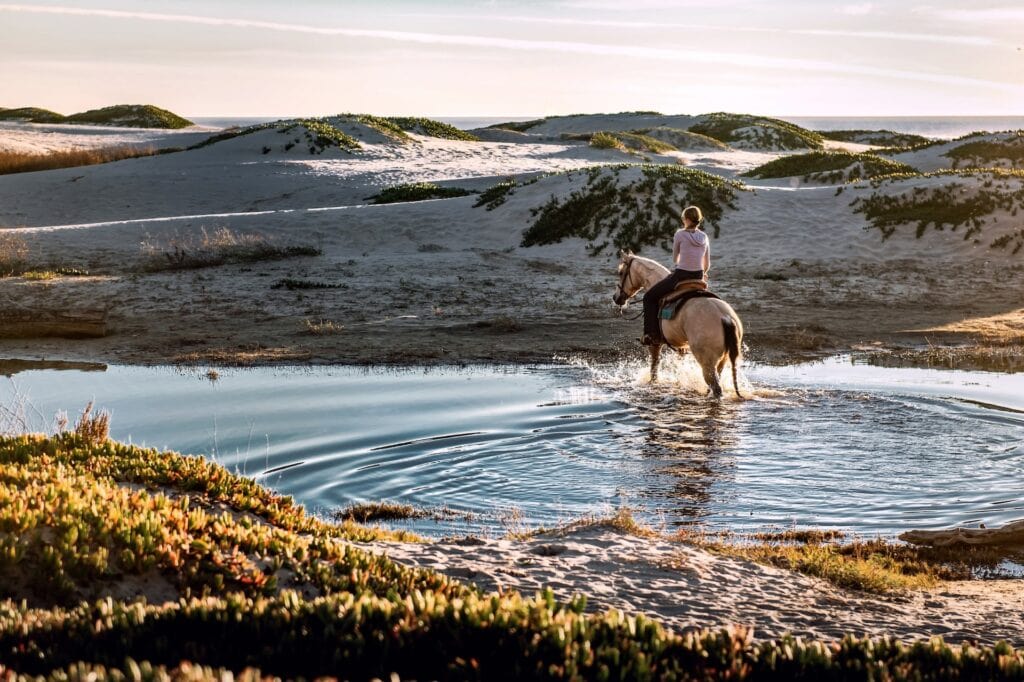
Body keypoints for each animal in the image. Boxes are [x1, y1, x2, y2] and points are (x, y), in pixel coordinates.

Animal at [613, 250, 744, 398]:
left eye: (621, 272)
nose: (616, 298)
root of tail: (725, 317)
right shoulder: (681, 346)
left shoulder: (655, 344)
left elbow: (654, 368)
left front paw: (652, 385)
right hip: (723, 360)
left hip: (707, 363)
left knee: (716, 388)